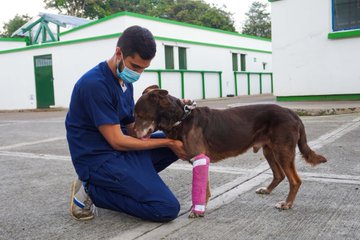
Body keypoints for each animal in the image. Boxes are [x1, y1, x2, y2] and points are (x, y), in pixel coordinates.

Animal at [134, 87, 328, 218]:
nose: (132, 134)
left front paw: (198, 210)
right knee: (279, 175)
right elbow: (205, 187)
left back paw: (287, 204)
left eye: (139, 115)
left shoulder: (200, 158)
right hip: (269, 150)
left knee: (295, 180)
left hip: (282, 151)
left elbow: (203, 187)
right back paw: (267, 190)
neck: (181, 118)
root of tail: (293, 113)